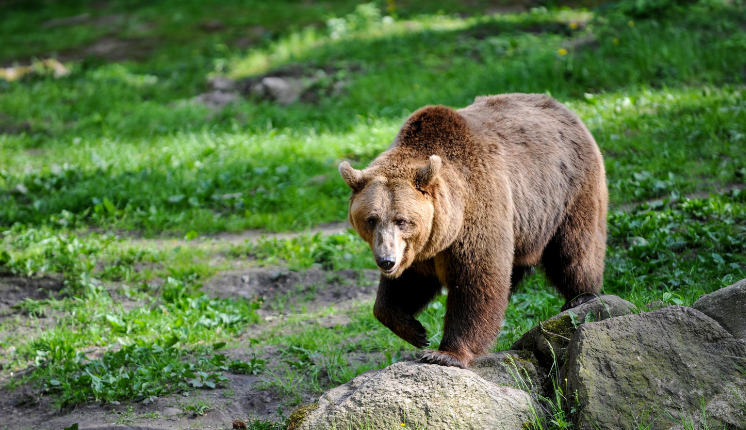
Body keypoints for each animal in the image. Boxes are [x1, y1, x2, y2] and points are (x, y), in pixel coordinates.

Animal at [338, 93, 608, 369]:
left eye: (401, 220)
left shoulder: (477, 210)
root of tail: (562, 107)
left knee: (573, 250)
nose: (386, 261)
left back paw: (582, 296)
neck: (447, 226)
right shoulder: (419, 248)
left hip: (568, 192)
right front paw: (415, 331)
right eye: (371, 219)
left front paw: (445, 353)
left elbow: (477, 280)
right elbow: (404, 286)